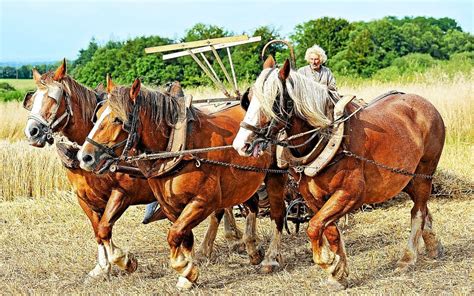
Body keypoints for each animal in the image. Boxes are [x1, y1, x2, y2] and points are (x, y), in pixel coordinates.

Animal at [21, 59, 246, 280]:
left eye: (54, 98)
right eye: (32, 100)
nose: (32, 132)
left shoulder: (123, 193)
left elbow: (104, 228)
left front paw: (124, 261)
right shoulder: (83, 197)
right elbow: (98, 230)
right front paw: (102, 267)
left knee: (220, 210)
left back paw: (216, 245)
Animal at [78, 77, 286, 290]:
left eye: (117, 119)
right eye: (97, 116)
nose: (84, 157)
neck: (180, 149)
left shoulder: (203, 202)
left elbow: (174, 234)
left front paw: (186, 270)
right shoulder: (170, 205)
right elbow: (184, 237)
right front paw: (186, 273)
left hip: (275, 176)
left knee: (278, 214)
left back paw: (270, 259)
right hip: (244, 183)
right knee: (252, 206)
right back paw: (251, 248)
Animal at [231, 57, 446, 290]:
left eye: (273, 101)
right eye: (249, 99)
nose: (241, 144)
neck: (325, 136)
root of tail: (425, 103)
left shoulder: (350, 193)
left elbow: (314, 227)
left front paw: (327, 262)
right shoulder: (313, 198)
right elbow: (330, 231)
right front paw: (338, 273)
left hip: (425, 172)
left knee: (418, 211)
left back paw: (408, 258)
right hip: (405, 177)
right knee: (422, 207)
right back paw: (433, 244)